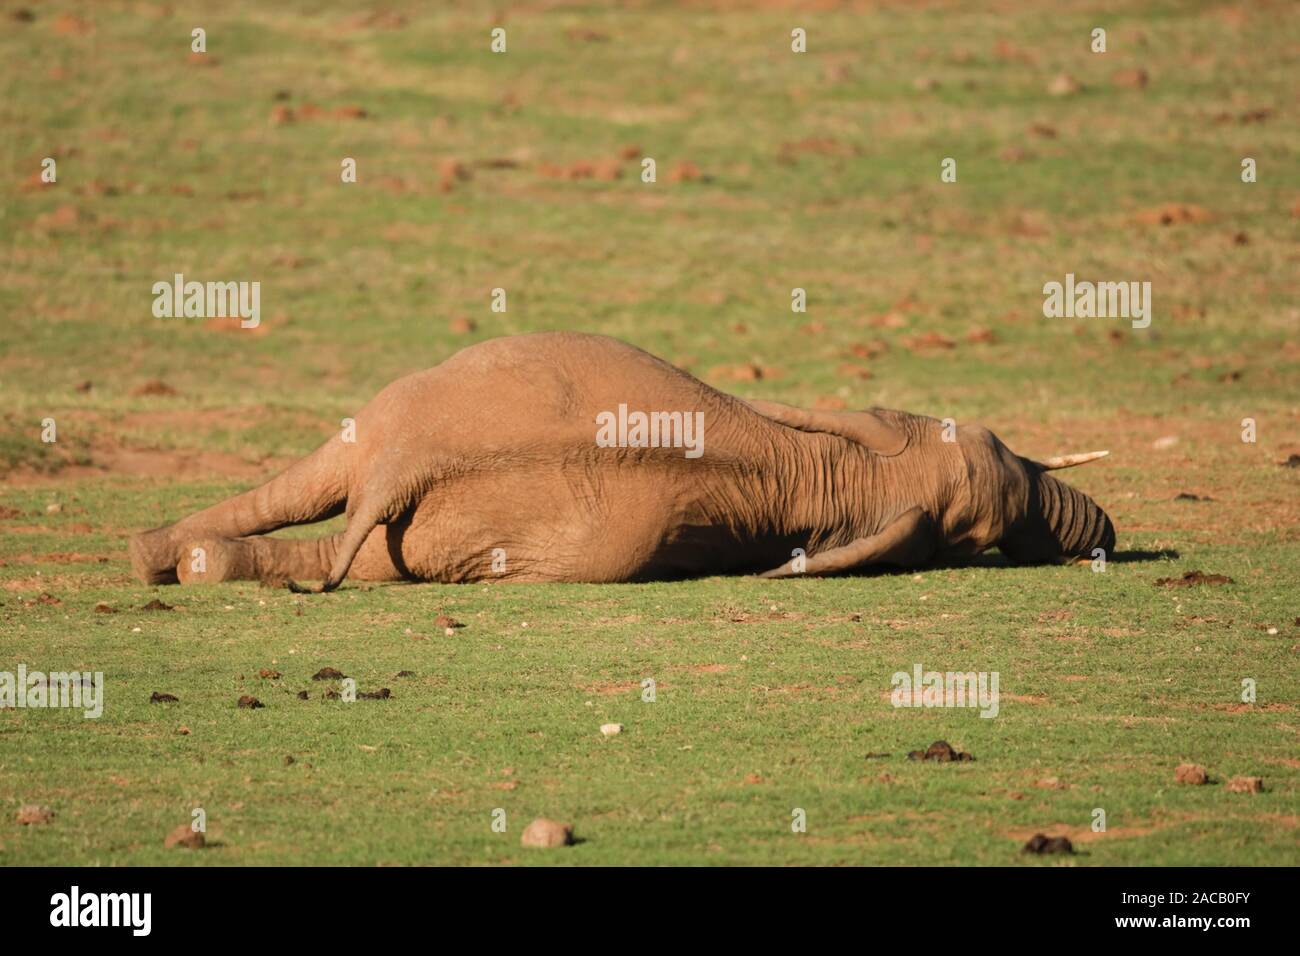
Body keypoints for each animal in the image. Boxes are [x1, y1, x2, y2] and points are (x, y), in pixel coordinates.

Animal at [126, 330, 1112, 590]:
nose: (1101, 533)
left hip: (434, 501)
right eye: (994, 441)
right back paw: (163, 558)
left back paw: (182, 562)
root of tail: (400, 468)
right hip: (401, 414)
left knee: (352, 546)